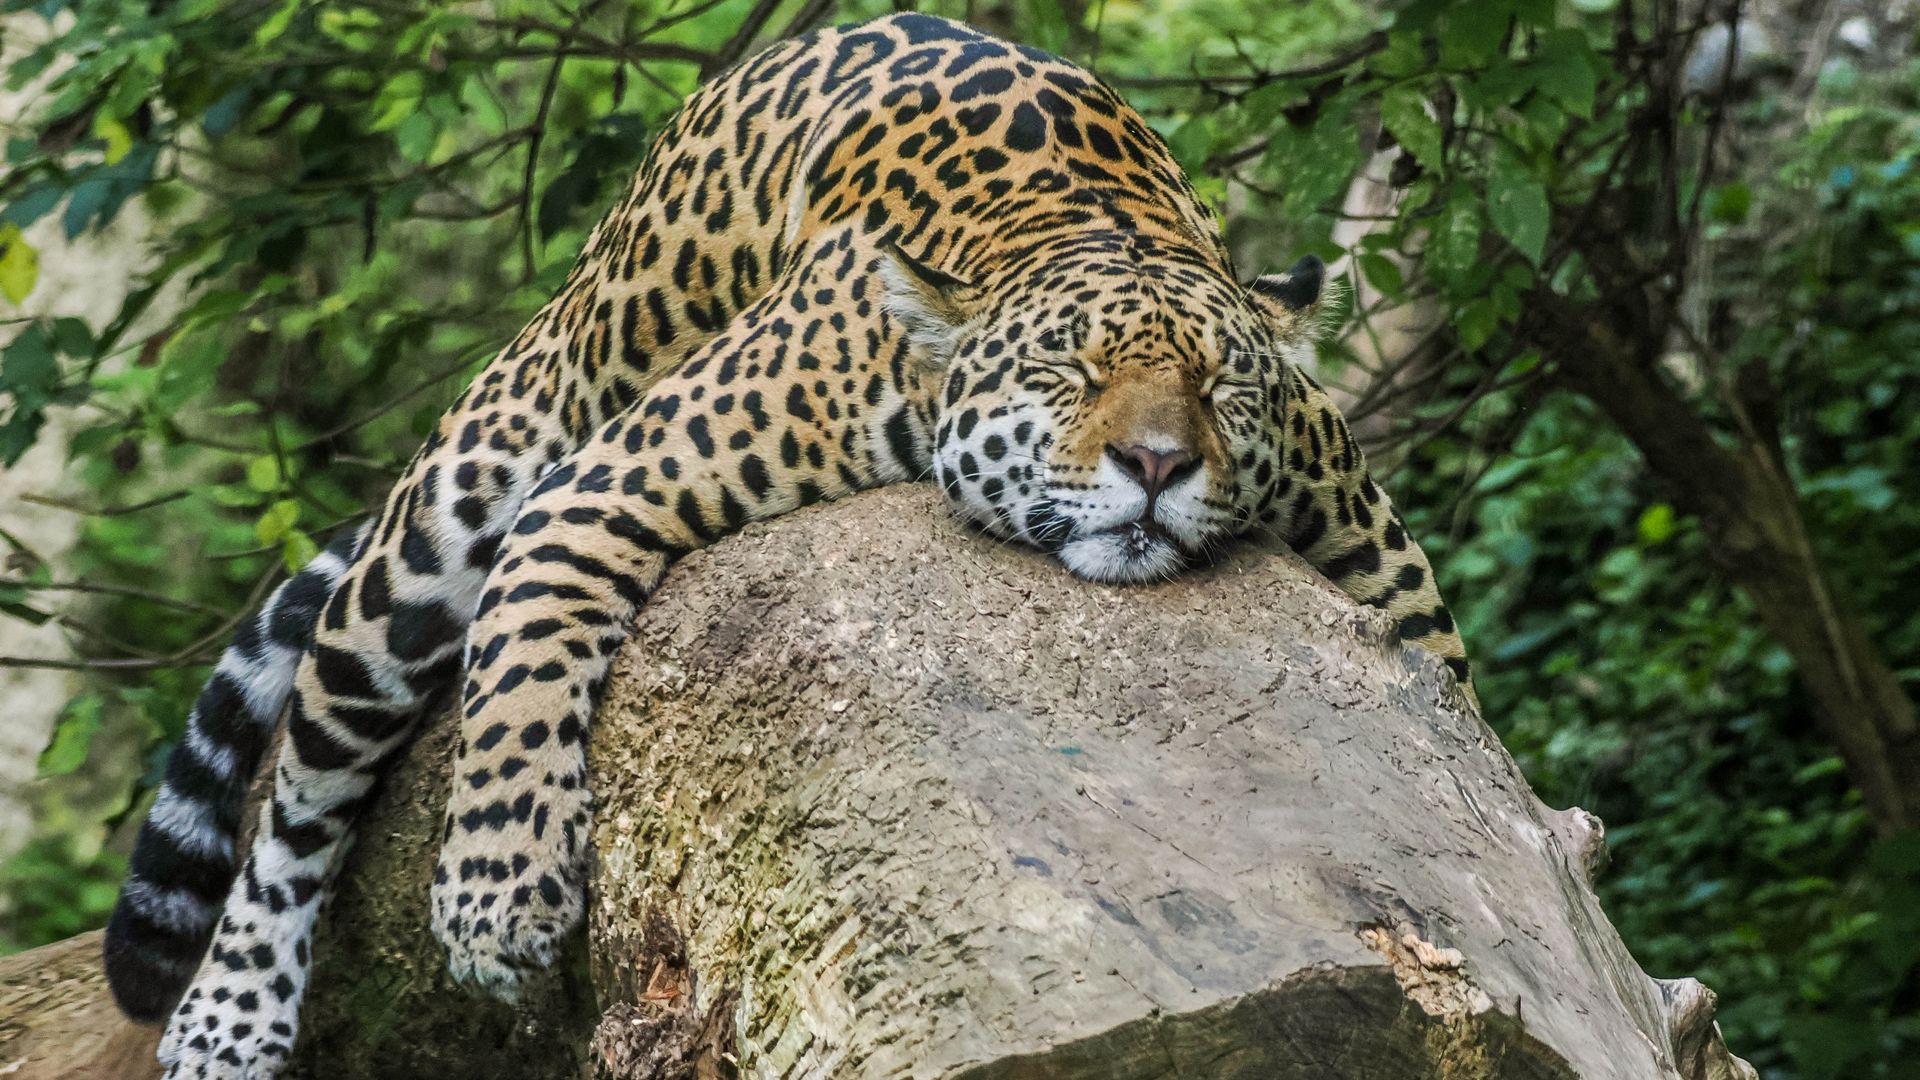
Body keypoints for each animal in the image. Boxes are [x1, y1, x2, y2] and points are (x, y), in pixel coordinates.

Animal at [100, 13, 1474, 1078]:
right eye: (1065, 373)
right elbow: (527, 672)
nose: (1156, 464)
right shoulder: (606, 484)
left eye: (1221, 388)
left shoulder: (1365, 532)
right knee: (300, 789)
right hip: (452, 516)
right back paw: (228, 1015)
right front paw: (497, 896)